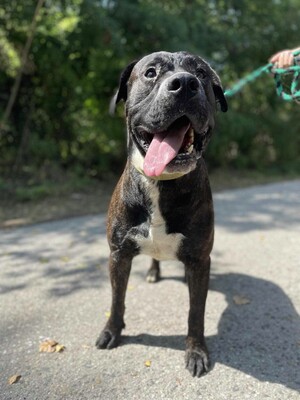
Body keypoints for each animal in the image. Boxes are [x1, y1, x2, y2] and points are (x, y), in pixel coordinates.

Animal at [96, 51, 227, 376]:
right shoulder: (118, 254)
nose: (185, 84)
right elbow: (117, 299)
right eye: (151, 72)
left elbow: (196, 312)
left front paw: (196, 351)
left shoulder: (199, 260)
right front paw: (111, 331)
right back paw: (154, 272)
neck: (161, 182)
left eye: (201, 73)